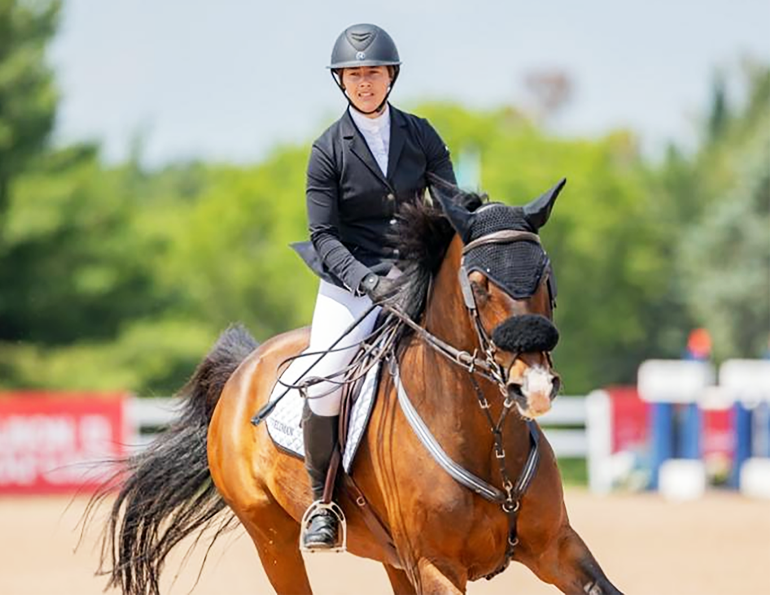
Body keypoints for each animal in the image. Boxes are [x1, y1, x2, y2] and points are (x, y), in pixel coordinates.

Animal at [89, 181, 623, 595]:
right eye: (478, 283)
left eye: (546, 277)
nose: (535, 386)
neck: (487, 436)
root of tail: (245, 368)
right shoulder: (436, 567)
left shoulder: (557, 548)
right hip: (272, 539)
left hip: (391, 558)